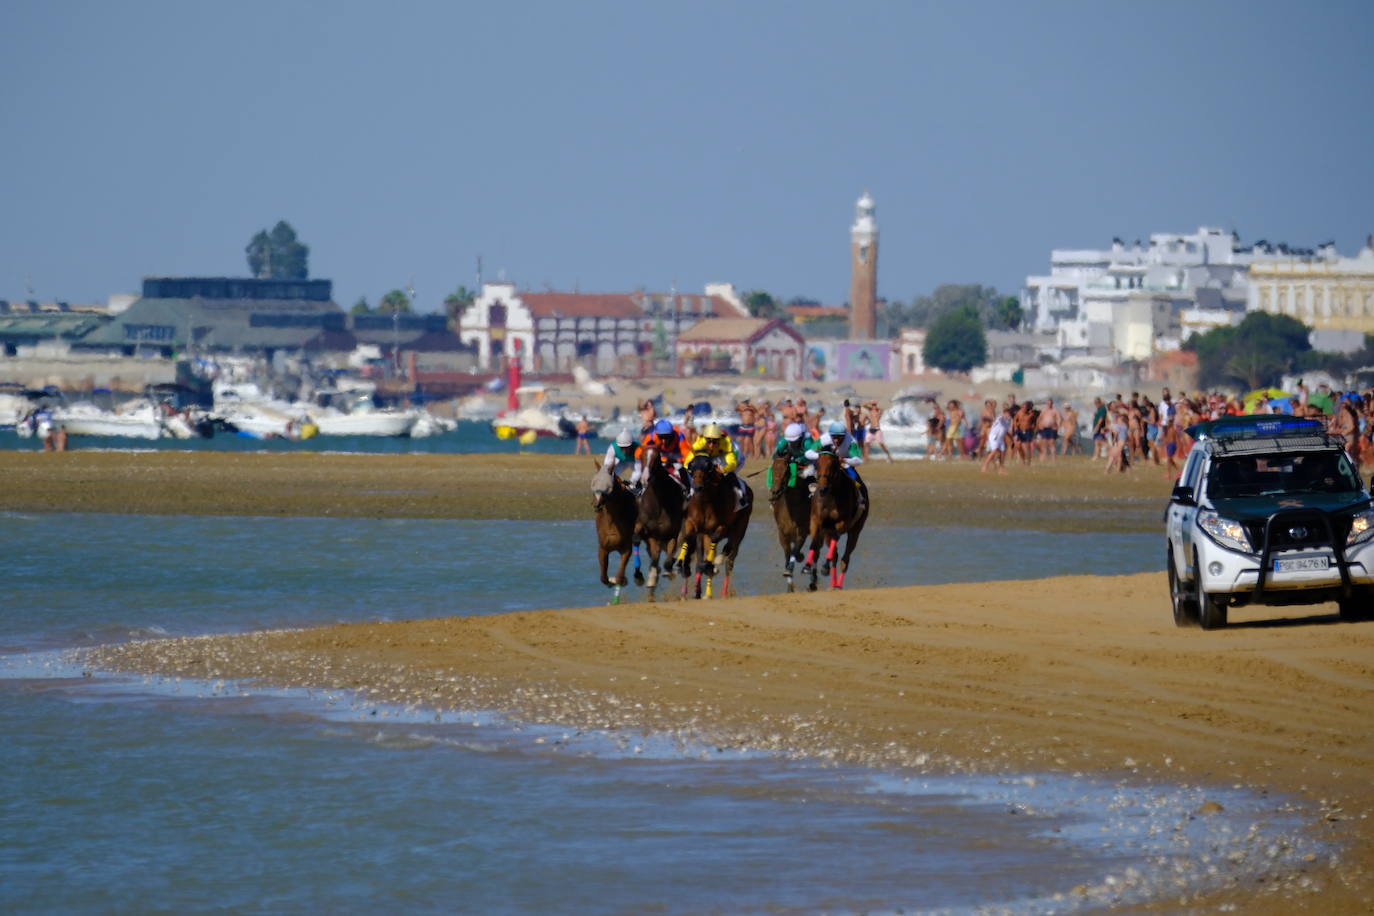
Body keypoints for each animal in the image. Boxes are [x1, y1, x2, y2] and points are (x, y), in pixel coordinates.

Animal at [588, 466, 634, 601]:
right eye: (594, 482)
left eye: (608, 486)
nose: (596, 504)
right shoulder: (603, 548)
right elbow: (603, 577)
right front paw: (611, 582)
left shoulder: (626, 548)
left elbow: (620, 575)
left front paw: (619, 580)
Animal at [632, 444, 687, 601]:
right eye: (642, 456)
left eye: (657, 457)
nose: (645, 478)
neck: (659, 504)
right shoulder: (648, 530)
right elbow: (638, 539)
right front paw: (642, 577)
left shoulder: (673, 532)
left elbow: (669, 559)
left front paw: (670, 571)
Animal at [676, 453, 752, 598]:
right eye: (692, 468)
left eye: (708, 469)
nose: (698, 487)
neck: (705, 503)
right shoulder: (694, 526)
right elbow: (689, 540)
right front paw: (680, 563)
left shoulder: (721, 527)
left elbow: (715, 542)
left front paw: (713, 563)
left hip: (741, 527)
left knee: (730, 557)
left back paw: (722, 588)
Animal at [769, 453, 807, 596]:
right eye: (773, 468)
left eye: (786, 471)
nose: (775, 492)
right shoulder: (783, 534)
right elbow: (788, 555)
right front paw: (789, 587)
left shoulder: (802, 532)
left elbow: (795, 551)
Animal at [802, 450, 862, 587]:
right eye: (817, 464)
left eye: (833, 466)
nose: (823, 489)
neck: (830, 498)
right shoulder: (816, 521)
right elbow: (814, 544)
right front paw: (807, 566)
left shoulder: (841, 522)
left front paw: (824, 567)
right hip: (827, 531)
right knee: (832, 552)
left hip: (855, 531)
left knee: (845, 558)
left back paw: (837, 584)